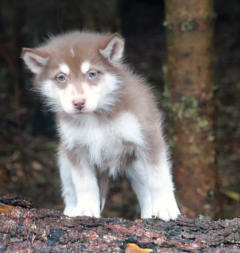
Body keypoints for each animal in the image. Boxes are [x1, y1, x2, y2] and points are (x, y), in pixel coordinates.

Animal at [21, 31, 180, 221]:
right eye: (61, 77)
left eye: (92, 74)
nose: (78, 103)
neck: (95, 118)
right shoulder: (75, 147)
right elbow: (84, 183)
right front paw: (86, 210)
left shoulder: (148, 137)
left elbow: (158, 177)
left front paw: (165, 207)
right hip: (64, 159)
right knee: (69, 189)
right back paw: (71, 210)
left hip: (137, 165)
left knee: (145, 189)